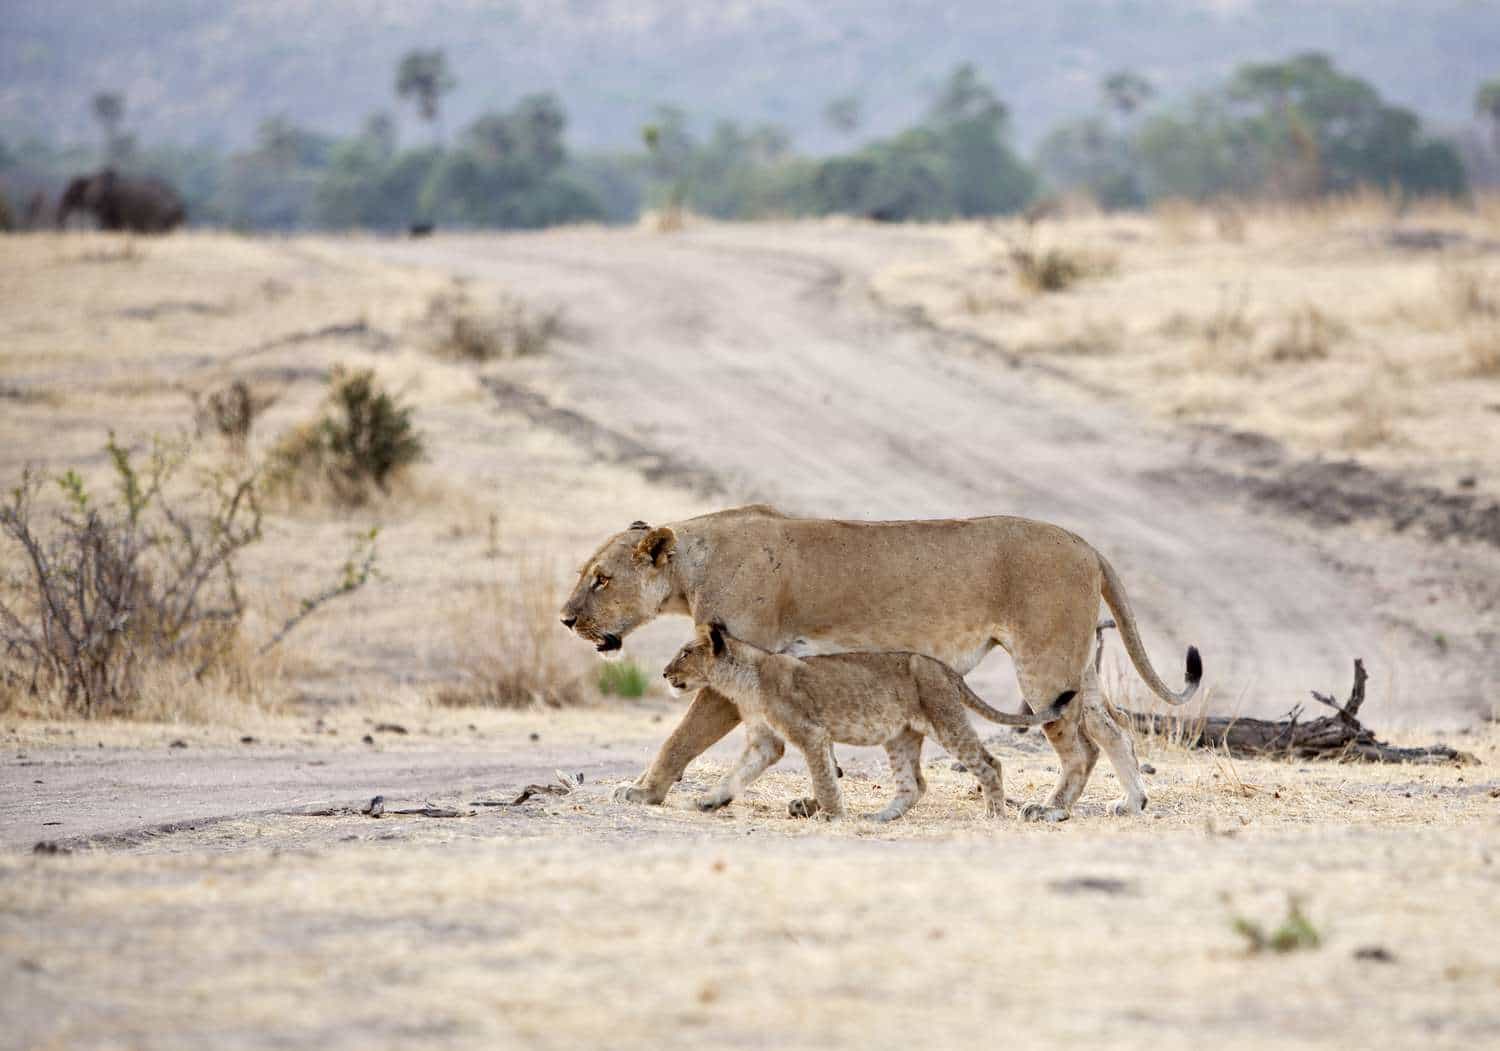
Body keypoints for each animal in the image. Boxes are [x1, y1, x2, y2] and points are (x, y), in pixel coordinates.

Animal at [663, 622, 1077, 821]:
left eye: (685, 653)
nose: (665, 673)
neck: (743, 680)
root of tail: (942, 667)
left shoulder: (811, 732)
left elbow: (823, 777)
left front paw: (833, 816)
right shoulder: (766, 741)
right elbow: (738, 773)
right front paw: (710, 801)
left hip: (945, 719)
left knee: (989, 763)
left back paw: (994, 814)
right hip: (901, 736)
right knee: (914, 785)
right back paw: (881, 817)